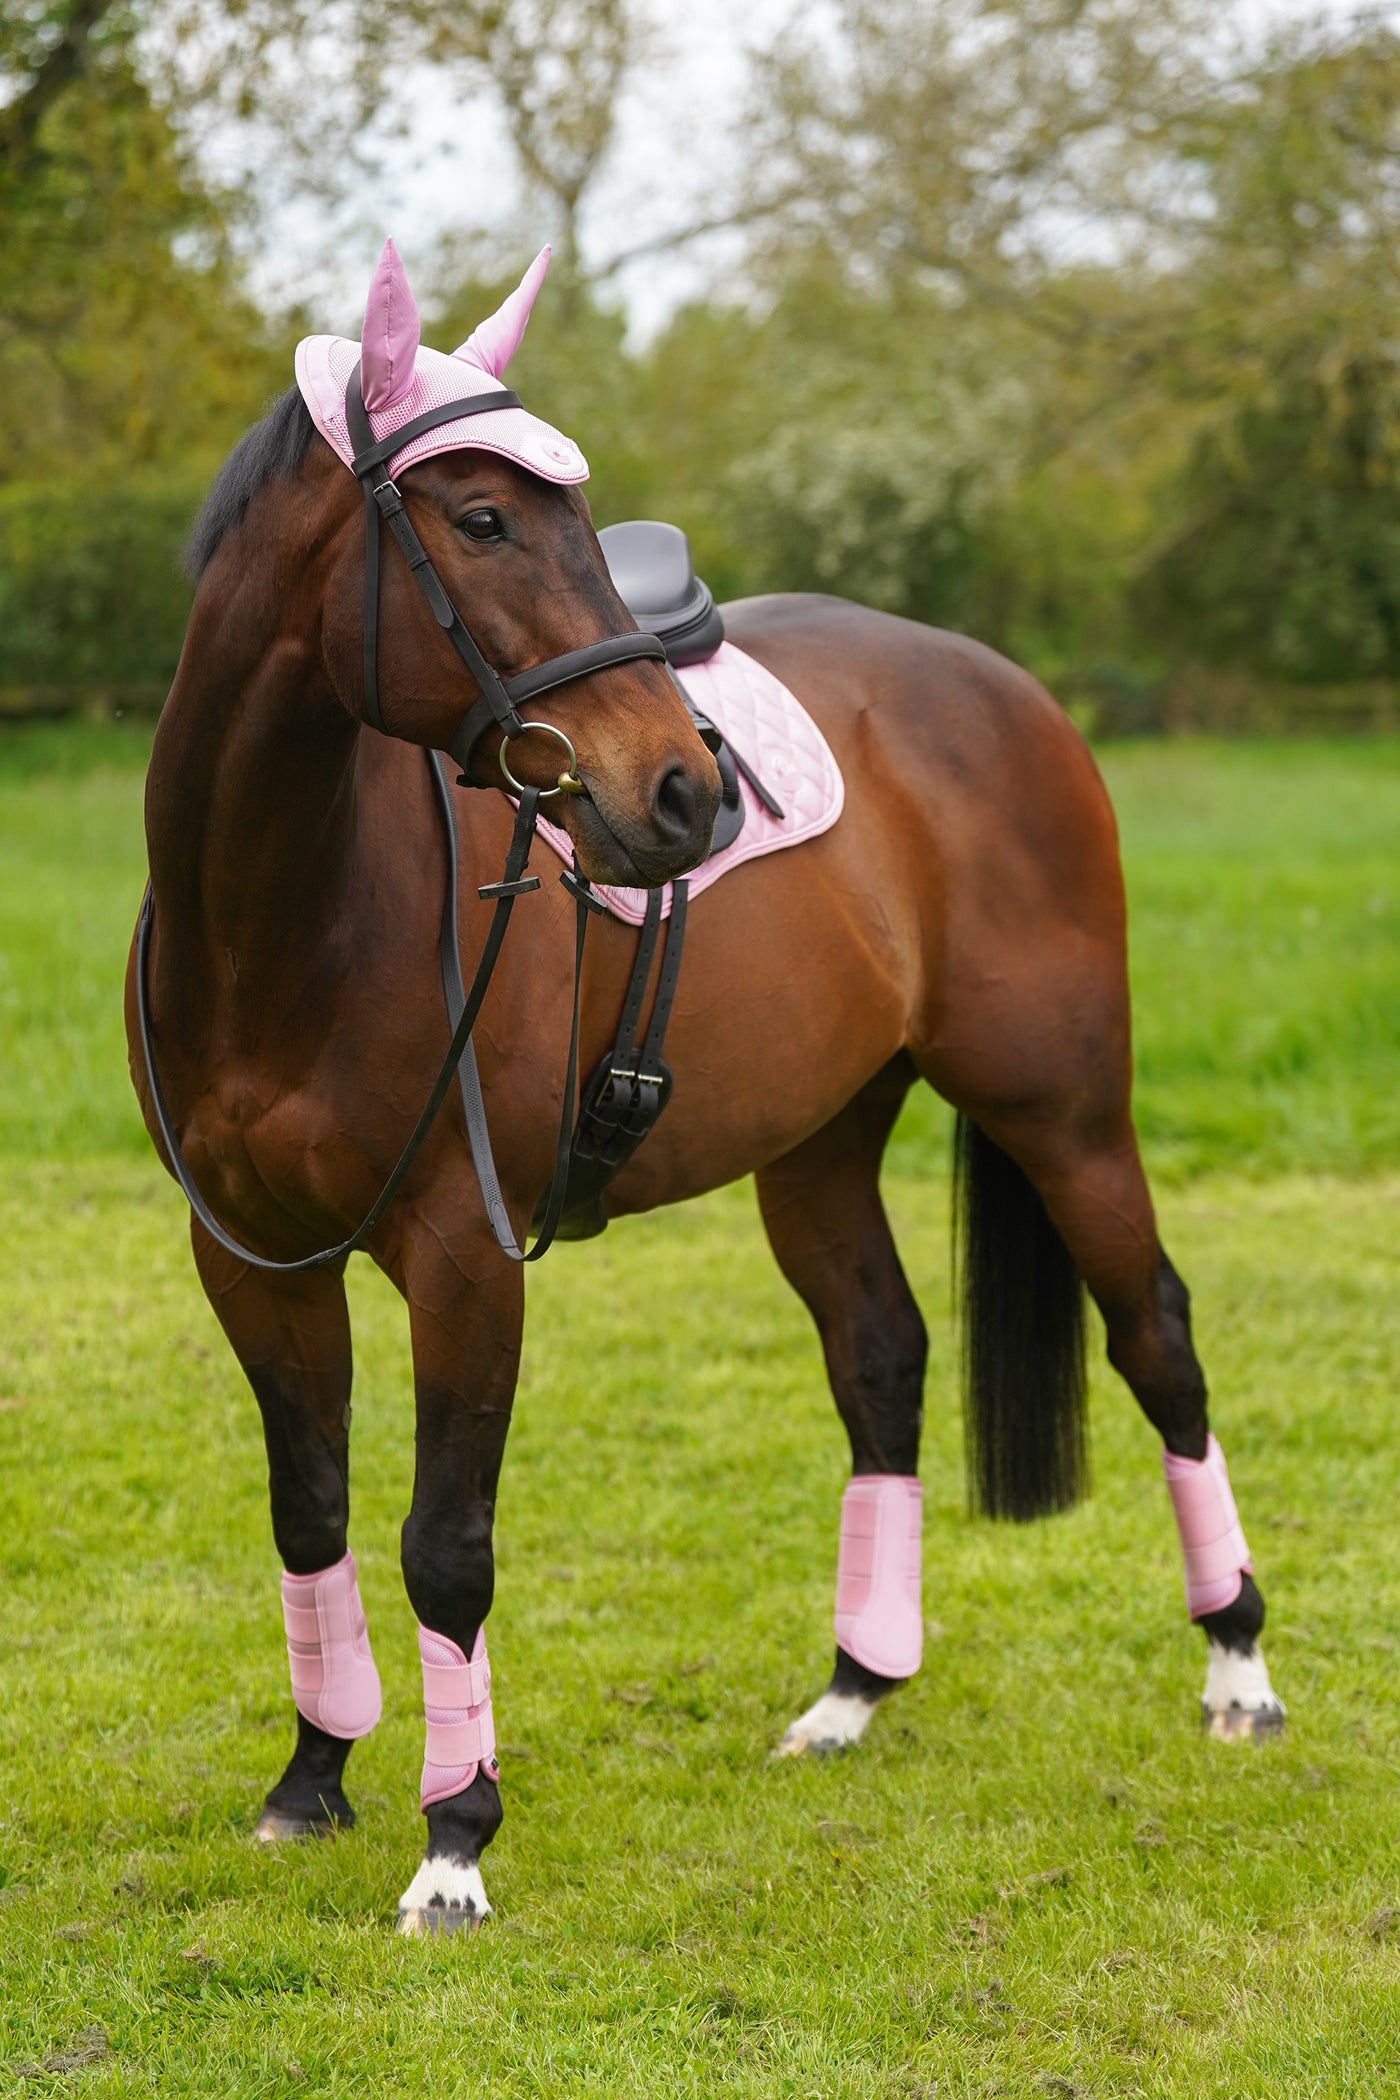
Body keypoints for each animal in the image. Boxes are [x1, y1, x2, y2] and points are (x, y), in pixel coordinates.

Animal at [125, 245, 1284, 1931]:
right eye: (482, 519)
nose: (683, 790)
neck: (286, 917)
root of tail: (996, 685)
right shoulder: (254, 1262)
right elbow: (312, 1510)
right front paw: (313, 1782)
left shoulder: (465, 1257)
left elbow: (445, 1544)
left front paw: (454, 1841)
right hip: (821, 1142)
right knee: (881, 1355)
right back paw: (855, 1689)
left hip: (1063, 1114)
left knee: (1159, 1341)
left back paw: (1239, 1667)